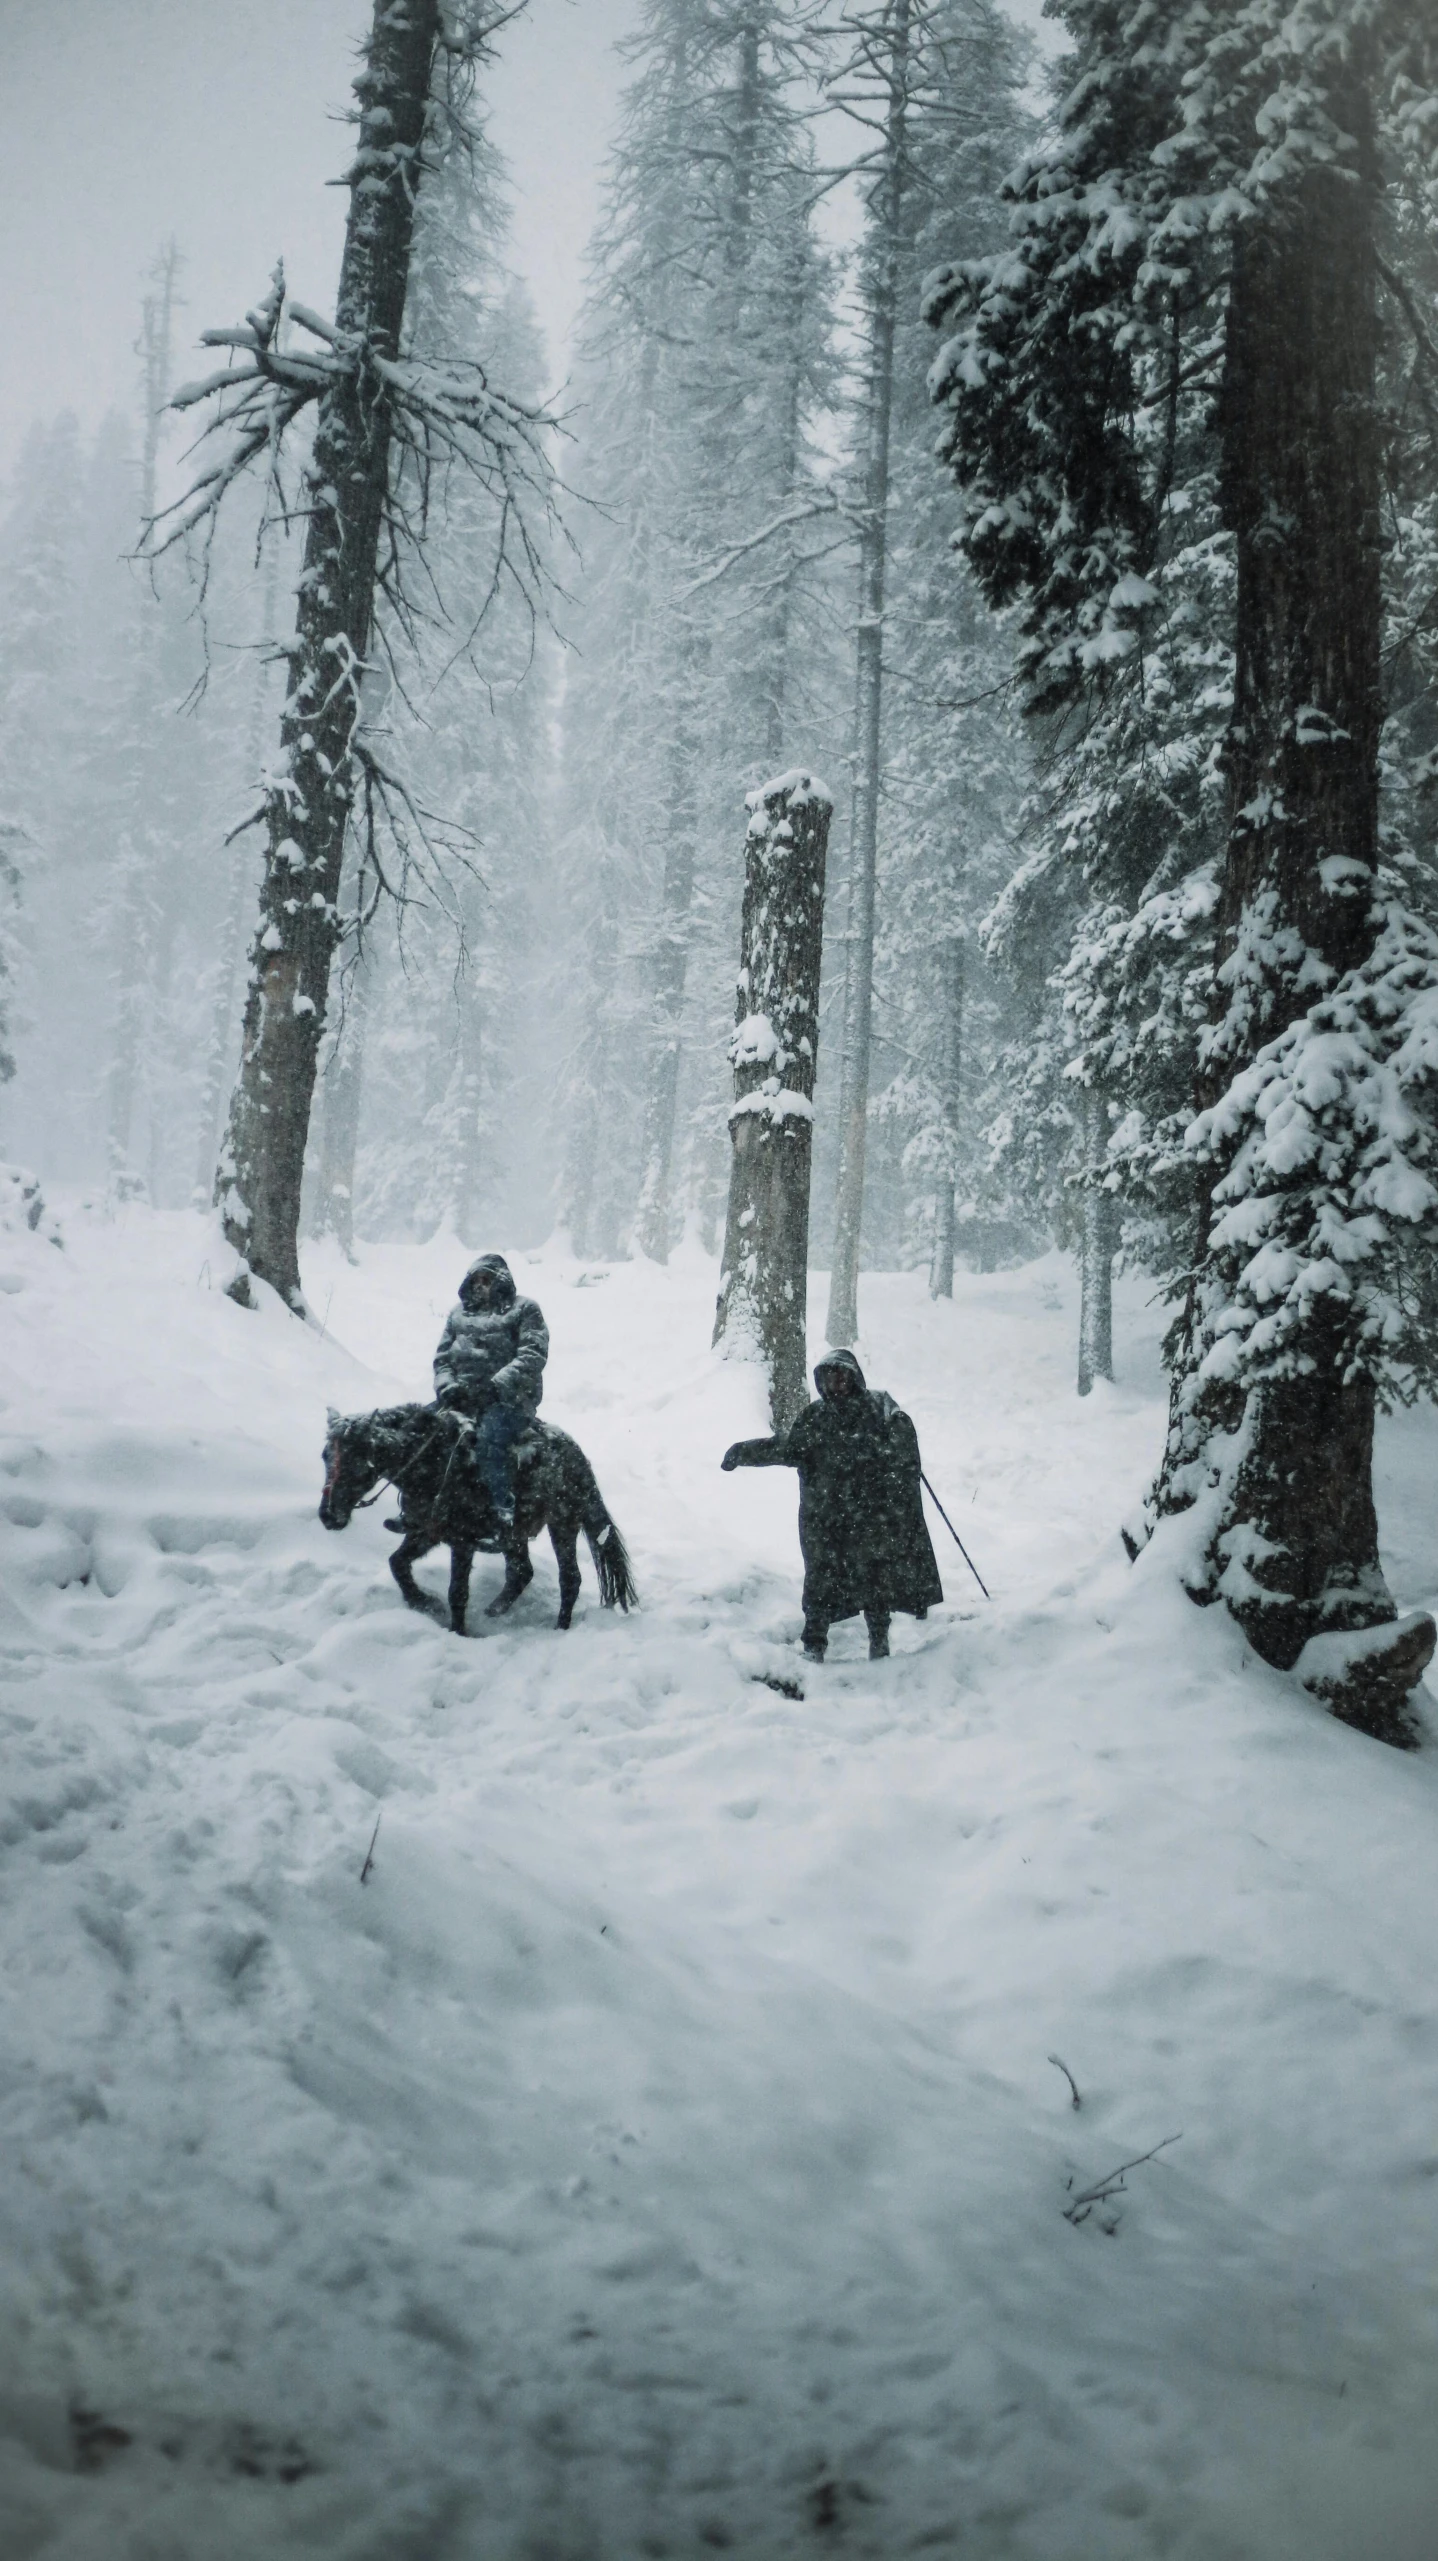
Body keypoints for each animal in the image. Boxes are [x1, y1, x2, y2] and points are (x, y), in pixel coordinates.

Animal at [319, 1413, 633, 1628]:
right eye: (324, 1456)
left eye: (356, 1462)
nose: (327, 1516)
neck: (430, 1464)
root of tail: (576, 1454)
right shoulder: (427, 1533)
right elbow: (397, 1563)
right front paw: (424, 1603)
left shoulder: (462, 1542)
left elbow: (457, 1592)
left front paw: (457, 1631)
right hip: (515, 1536)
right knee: (521, 1571)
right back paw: (496, 1610)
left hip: (563, 1524)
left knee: (569, 1578)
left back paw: (560, 1627)